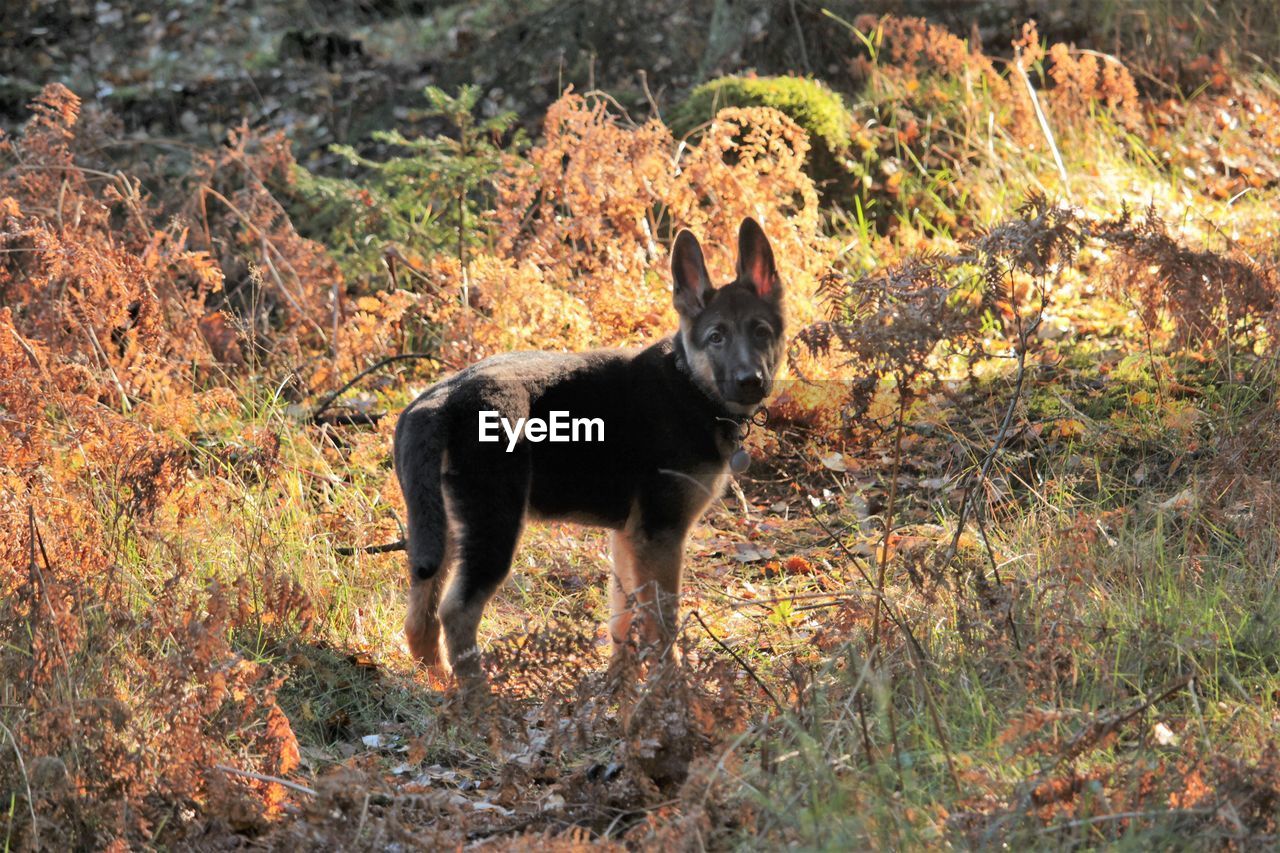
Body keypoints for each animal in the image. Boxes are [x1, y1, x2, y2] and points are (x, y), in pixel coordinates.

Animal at [394, 217, 783, 686]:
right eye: (716, 337)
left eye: (761, 332)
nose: (750, 381)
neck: (690, 385)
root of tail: (441, 399)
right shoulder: (661, 532)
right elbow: (662, 621)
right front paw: (672, 689)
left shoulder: (629, 537)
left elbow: (623, 617)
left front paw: (620, 687)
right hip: (494, 523)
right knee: (457, 611)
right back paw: (479, 697)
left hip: (442, 527)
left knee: (421, 616)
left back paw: (439, 683)